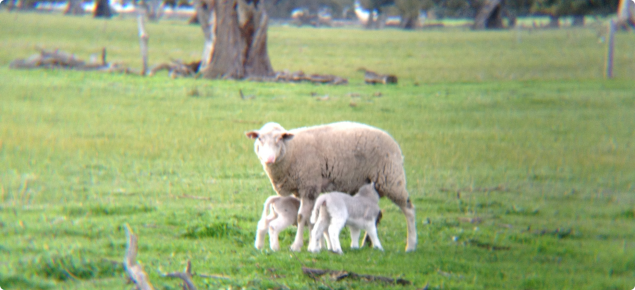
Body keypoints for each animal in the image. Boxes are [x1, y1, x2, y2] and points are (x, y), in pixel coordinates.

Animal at [245, 121, 418, 253]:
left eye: (279, 139)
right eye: (259, 138)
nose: (269, 159)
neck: (291, 150)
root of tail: (395, 145)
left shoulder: (309, 186)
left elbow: (302, 217)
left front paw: (298, 245)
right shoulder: (302, 189)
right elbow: (312, 219)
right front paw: (317, 244)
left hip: (392, 179)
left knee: (408, 209)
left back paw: (411, 245)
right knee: (378, 215)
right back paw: (367, 243)